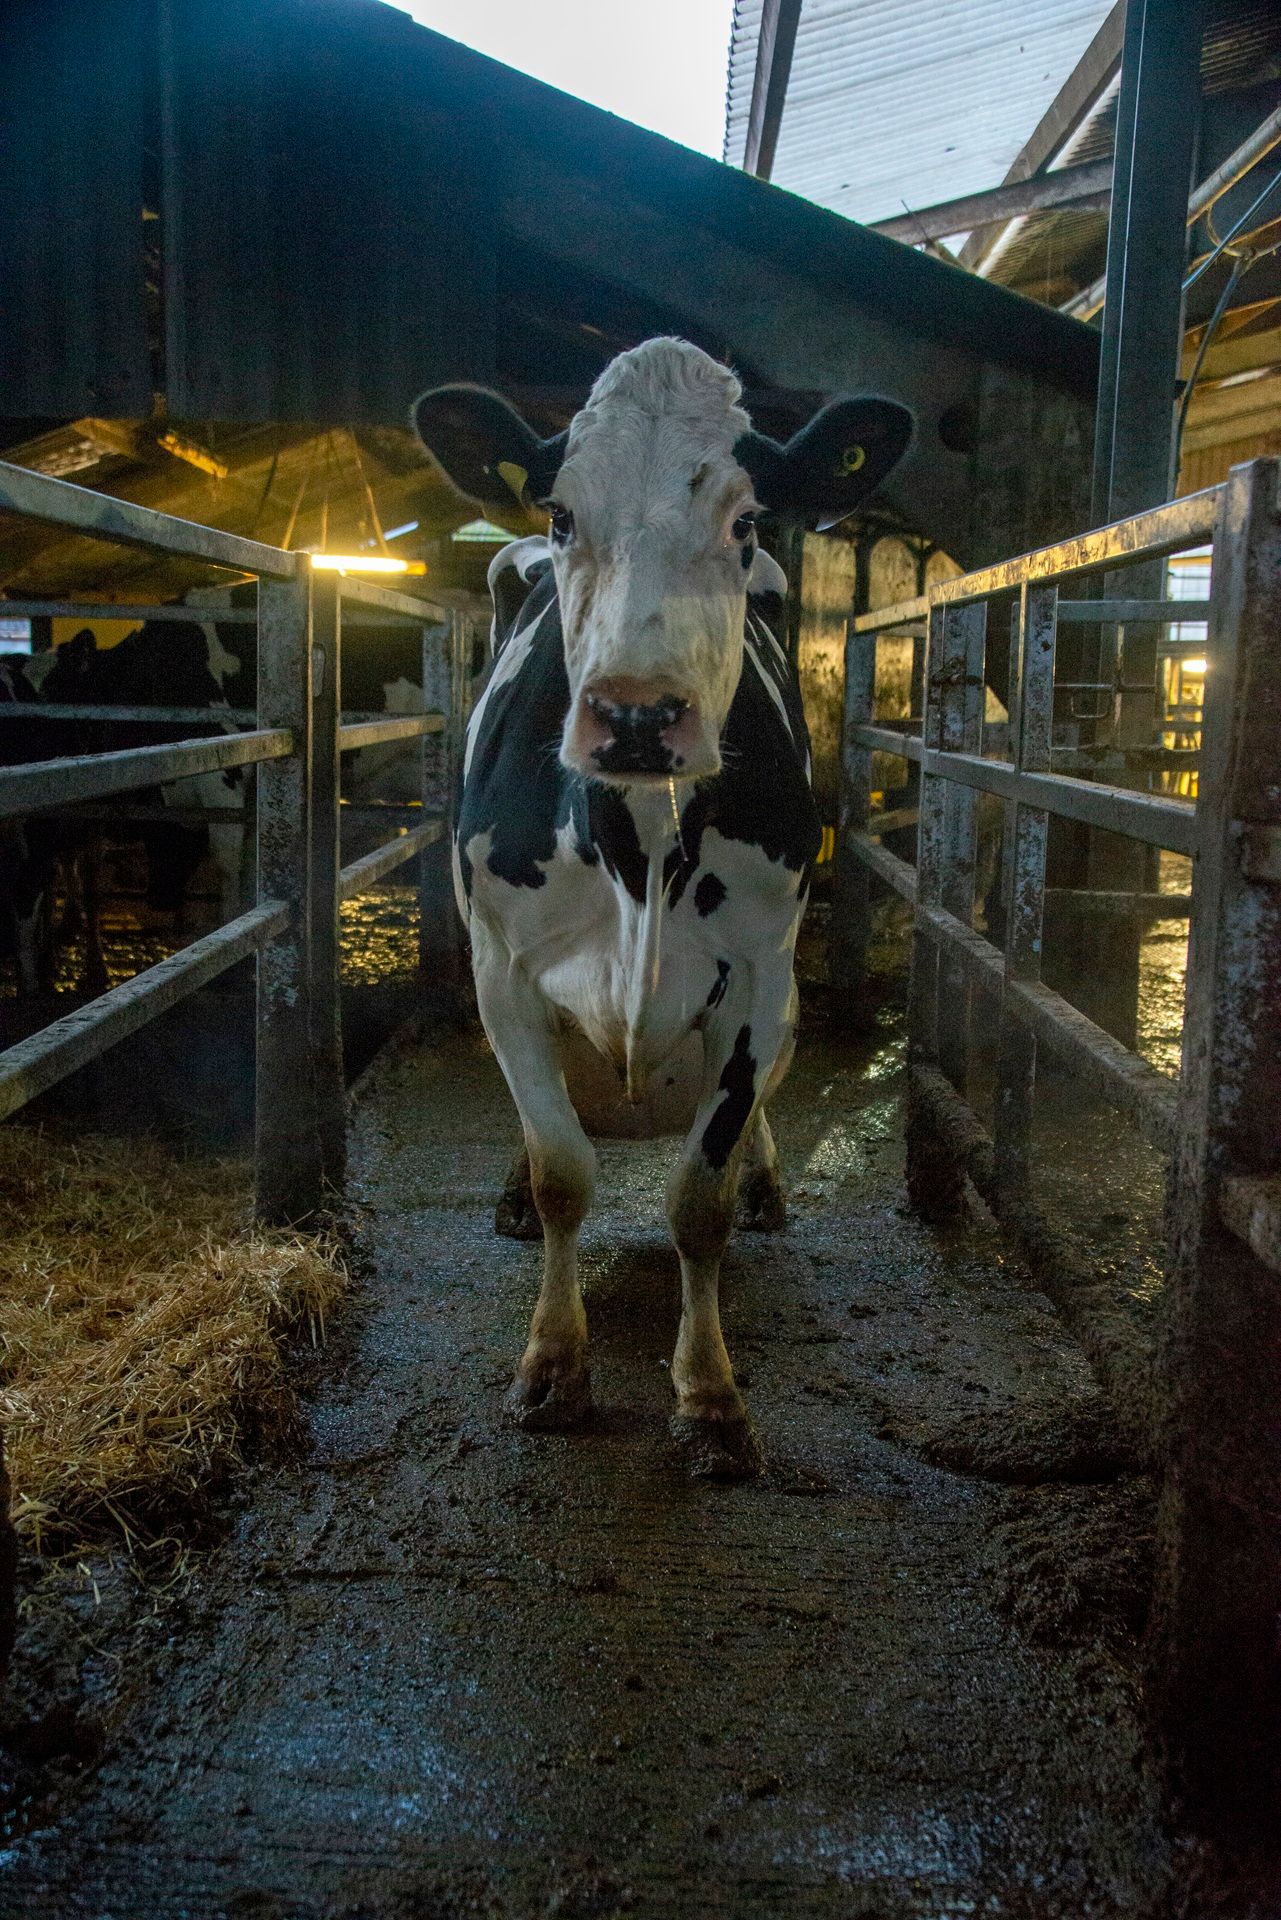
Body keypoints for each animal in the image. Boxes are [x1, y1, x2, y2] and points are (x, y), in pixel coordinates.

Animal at [413, 337, 912, 1479]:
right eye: (560, 513)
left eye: (747, 521)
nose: (637, 715)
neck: (638, 850)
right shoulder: (502, 972)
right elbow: (563, 1173)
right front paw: (553, 1367)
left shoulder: (760, 978)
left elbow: (698, 1202)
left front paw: (712, 1398)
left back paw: (768, 1182)